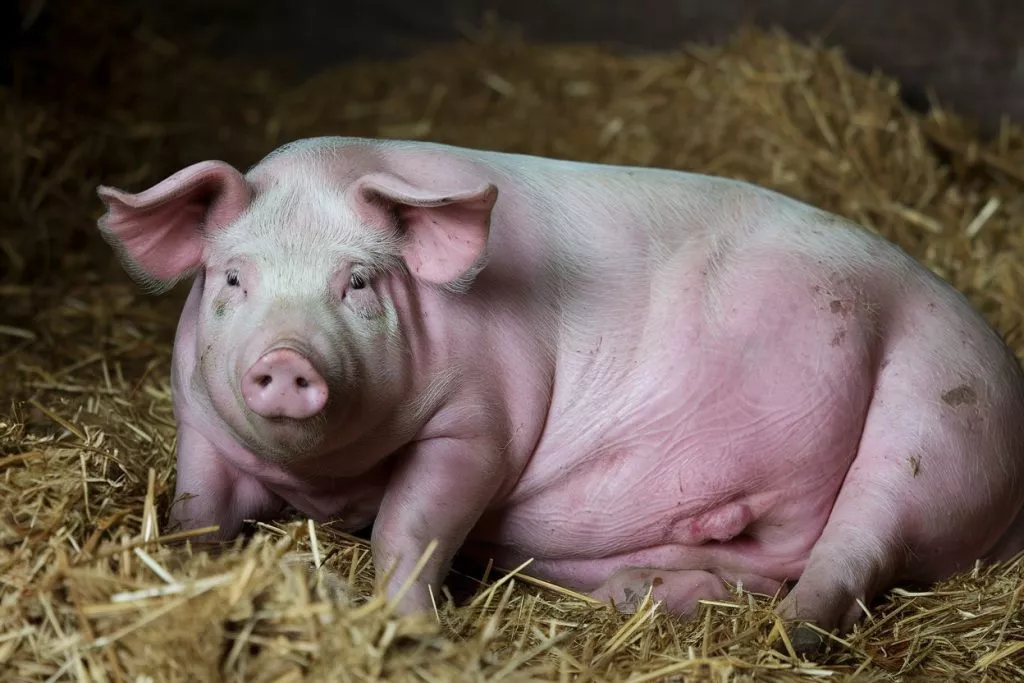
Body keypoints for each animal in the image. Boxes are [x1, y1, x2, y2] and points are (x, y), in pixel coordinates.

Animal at [96, 136, 1024, 652]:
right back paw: (637, 595)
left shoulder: (479, 425)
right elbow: (194, 512)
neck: (329, 478)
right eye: (232, 278)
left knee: (855, 554)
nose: (290, 360)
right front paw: (180, 571)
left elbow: (412, 525)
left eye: (357, 281)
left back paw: (792, 638)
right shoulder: (199, 426)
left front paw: (409, 627)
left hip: (936, 414)